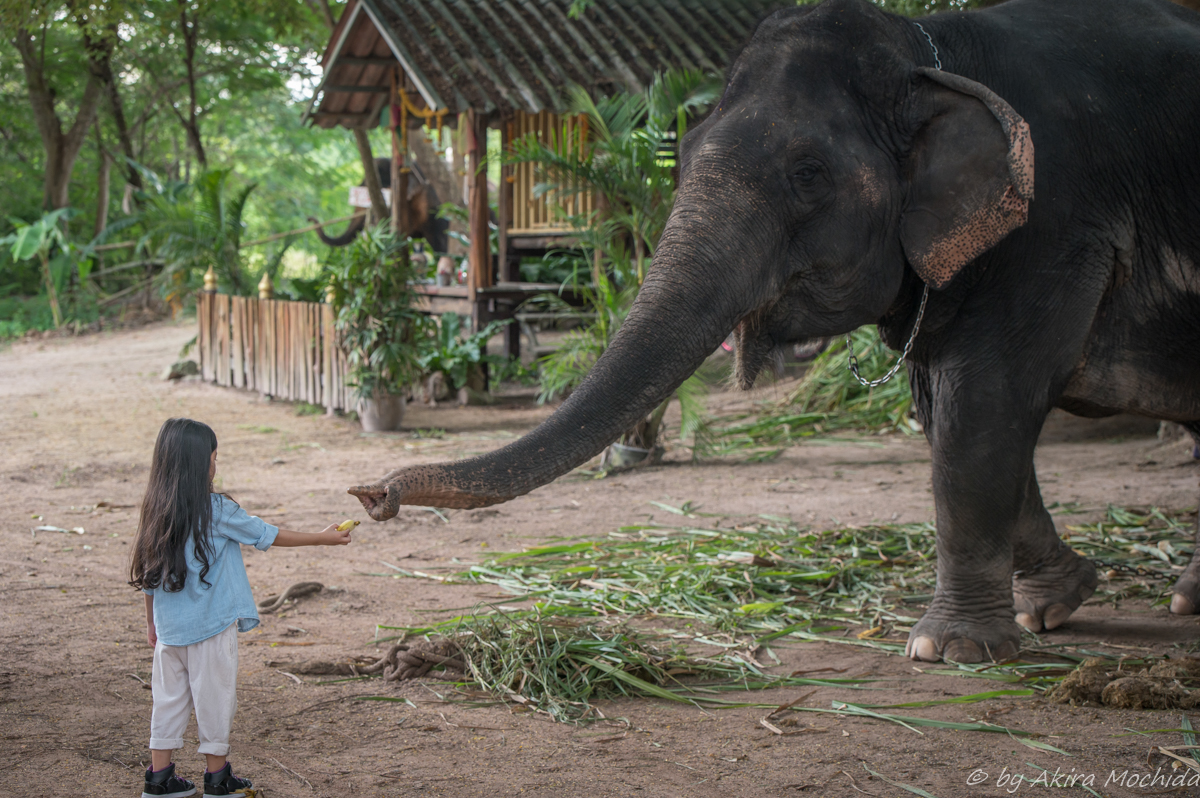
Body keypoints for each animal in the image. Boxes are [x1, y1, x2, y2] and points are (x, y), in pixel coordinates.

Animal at [345, 0, 1200, 662]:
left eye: (808, 174)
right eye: (684, 151)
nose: (371, 495)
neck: (932, 49)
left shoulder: (1056, 225)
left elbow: (983, 407)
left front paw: (949, 650)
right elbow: (947, 412)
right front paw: (1053, 604)